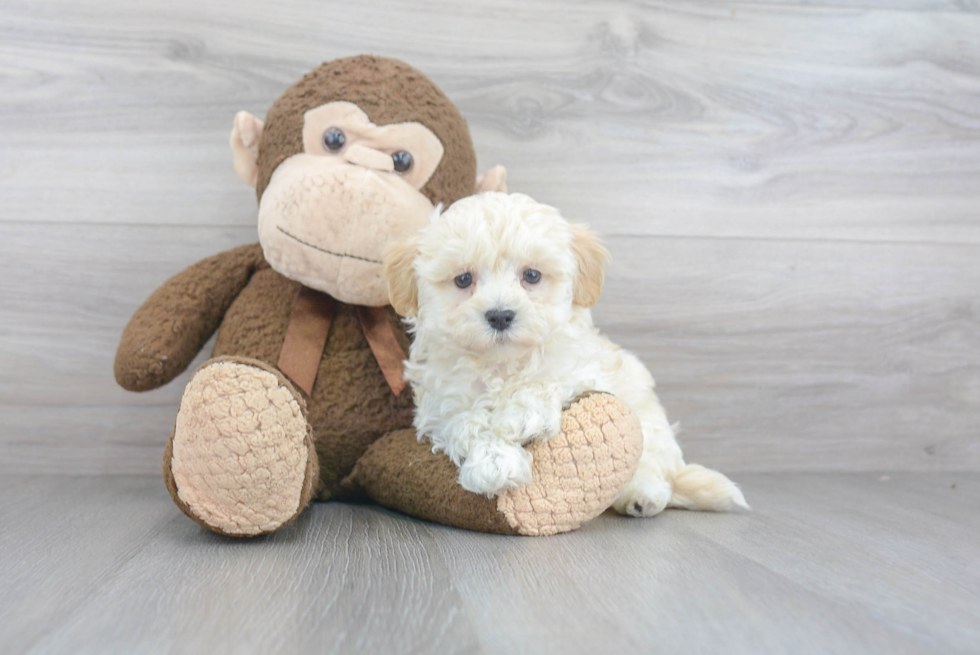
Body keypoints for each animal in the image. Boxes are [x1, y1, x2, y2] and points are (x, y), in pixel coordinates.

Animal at [384, 192, 752, 516]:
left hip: (648, 422)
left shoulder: (586, 371)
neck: (503, 365)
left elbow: (548, 382)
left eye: (532, 275)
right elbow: (467, 423)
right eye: (463, 279)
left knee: (650, 464)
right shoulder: (442, 406)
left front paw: (519, 416)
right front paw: (494, 463)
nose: (500, 315)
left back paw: (641, 496)